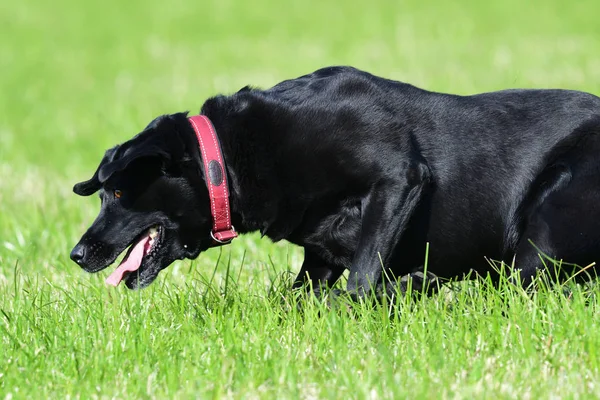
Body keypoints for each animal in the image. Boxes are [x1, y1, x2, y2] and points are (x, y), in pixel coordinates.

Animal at [72, 66, 600, 296]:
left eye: (117, 193)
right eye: (101, 194)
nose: (76, 254)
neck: (227, 157)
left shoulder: (399, 176)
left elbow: (361, 277)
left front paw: (368, 299)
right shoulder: (319, 251)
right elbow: (297, 293)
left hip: (547, 220)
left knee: (525, 286)